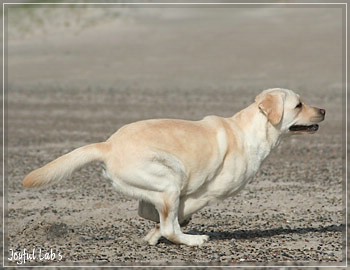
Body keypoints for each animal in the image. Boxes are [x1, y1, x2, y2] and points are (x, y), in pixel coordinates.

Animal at [23, 88, 326, 247]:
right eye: (299, 105)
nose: (323, 110)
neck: (250, 130)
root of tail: (108, 145)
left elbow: (156, 216)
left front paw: (151, 234)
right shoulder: (207, 192)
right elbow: (177, 215)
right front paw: (162, 232)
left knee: (151, 211)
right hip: (171, 178)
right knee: (171, 225)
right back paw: (193, 239)